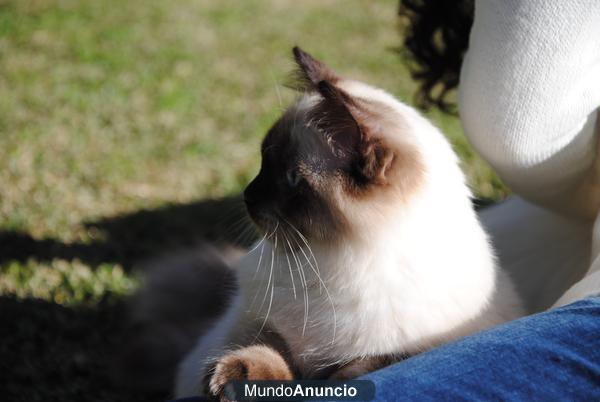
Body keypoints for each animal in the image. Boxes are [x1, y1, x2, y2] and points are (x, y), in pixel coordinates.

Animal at [173, 47, 524, 398]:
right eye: (263, 162)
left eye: (291, 178)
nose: (248, 195)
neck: (327, 261)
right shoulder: (256, 322)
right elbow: (267, 349)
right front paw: (235, 380)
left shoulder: (403, 350)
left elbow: (356, 370)